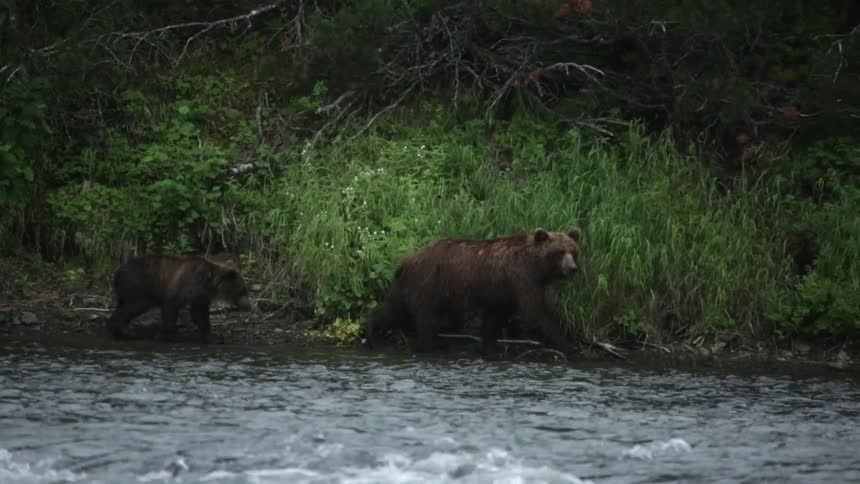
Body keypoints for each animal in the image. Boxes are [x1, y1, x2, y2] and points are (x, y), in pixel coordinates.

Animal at [107, 255, 252, 343]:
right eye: (242, 290)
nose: (249, 306)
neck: (209, 283)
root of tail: (117, 272)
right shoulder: (185, 286)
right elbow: (171, 309)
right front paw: (170, 335)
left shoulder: (200, 295)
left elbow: (200, 315)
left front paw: (213, 337)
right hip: (138, 285)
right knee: (133, 306)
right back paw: (125, 331)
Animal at [365, 228, 582, 355]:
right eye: (560, 252)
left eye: (573, 251)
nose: (572, 268)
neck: (536, 267)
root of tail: (407, 260)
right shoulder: (521, 279)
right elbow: (536, 312)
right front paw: (568, 346)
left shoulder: (502, 292)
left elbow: (494, 319)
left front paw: (489, 348)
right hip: (428, 285)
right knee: (425, 320)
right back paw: (427, 346)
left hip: (409, 287)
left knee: (394, 310)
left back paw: (371, 332)